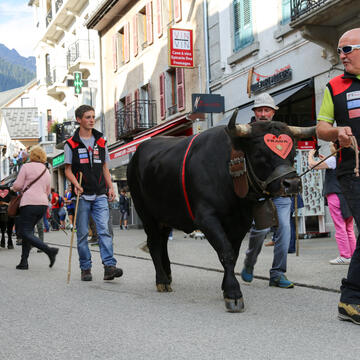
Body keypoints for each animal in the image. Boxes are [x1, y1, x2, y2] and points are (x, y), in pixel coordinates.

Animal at [127, 112, 316, 312]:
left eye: (293, 153)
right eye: (258, 154)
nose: (292, 184)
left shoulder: (241, 223)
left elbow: (233, 254)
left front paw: (226, 287)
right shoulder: (207, 219)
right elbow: (226, 252)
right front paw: (233, 293)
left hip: (165, 216)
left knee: (163, 242)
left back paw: (168, 275)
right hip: (145, 213)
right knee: (154, 243)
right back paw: (162, 280)